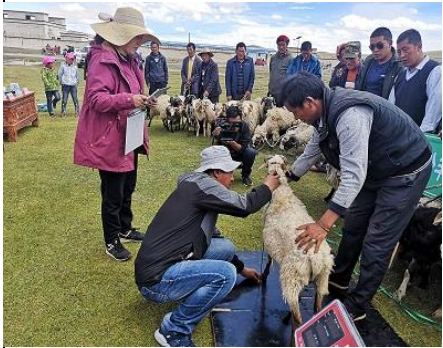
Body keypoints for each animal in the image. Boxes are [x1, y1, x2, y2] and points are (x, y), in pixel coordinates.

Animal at [264, 154, 332, 324]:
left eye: (271, 161)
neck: (282, 195)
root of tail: (316, 260)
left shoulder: (270, 243)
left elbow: (268, 261)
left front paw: (263, 277)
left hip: (292, 277)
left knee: (298, 317)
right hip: (323, 278)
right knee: (318, 306)